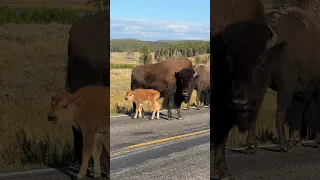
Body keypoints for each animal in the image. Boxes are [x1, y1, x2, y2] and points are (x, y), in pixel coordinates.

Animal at [210, 0, 278, 179]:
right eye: (227, 62)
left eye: (261, 63)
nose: (239, 102)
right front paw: (220, 170)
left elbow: (223, 136)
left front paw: (223, 171)